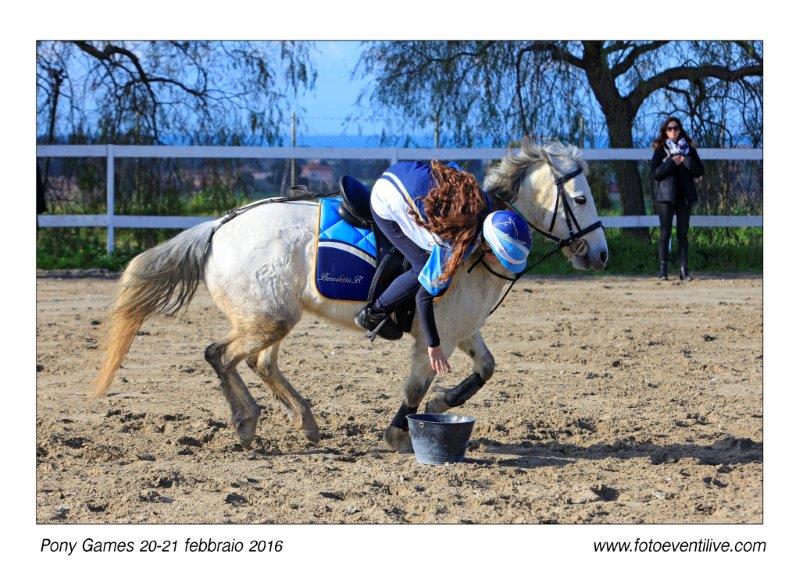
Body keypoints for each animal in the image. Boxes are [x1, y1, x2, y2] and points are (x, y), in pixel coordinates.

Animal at [92, 139, 608, 452]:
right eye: (581, 199)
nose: (601, 254)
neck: (477, 240)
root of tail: (218, 227)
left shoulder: (463, 331)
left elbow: (485, 369)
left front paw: (444, 403)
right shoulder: (434, 333)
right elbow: (416, 387)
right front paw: (400, 432)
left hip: (272, 318)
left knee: (258, 362)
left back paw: (303, 419)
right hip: (268, 319)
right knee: (220, 354)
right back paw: (246, 420)